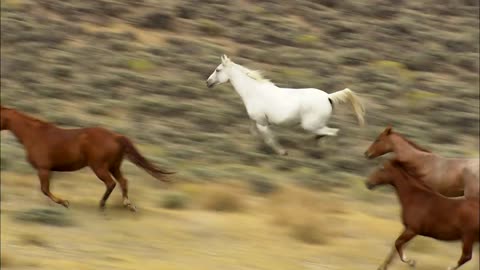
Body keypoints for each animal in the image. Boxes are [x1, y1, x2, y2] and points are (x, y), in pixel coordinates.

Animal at [0, 105, 172, 211]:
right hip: (114, 166)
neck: (34, 135)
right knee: (123, 181)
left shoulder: (43, 168)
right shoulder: (49, 170)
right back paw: (128, 206)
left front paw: (65, 202)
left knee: (111, 183)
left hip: (99, 167)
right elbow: (46, 189)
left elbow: (45, 190)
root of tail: (116, 137)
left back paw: (102, 204)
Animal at [204, 54, 366, 155]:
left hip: (310, 125)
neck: (253, 92)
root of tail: (328, 97)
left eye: (218, 70)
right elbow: (255, 134)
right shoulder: (256, 121)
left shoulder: (262, 123)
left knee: (332, 132)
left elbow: (269, 139)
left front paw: (283, 152)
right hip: (316, 125)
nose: (208, 82)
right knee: (326, 133)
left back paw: (320, 151)